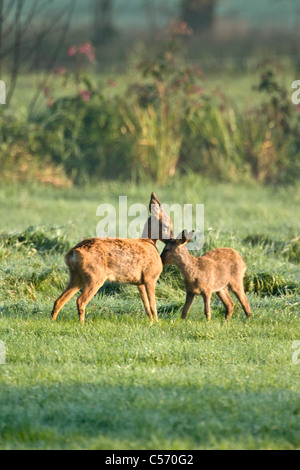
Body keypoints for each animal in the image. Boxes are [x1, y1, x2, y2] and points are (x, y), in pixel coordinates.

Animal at [51, 194, 173, 324]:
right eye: (166, 225)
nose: (171, 240)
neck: (149, 242)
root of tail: (73, 253)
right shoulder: (150, 278)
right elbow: (153, 305)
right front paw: (157, 322)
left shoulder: (140, 283)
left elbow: (146, 305)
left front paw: (151, 322)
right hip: (95, 277)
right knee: (80, 300)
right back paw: (82, 323)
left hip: (76, 277)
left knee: (59, 300)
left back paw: (53, 320)